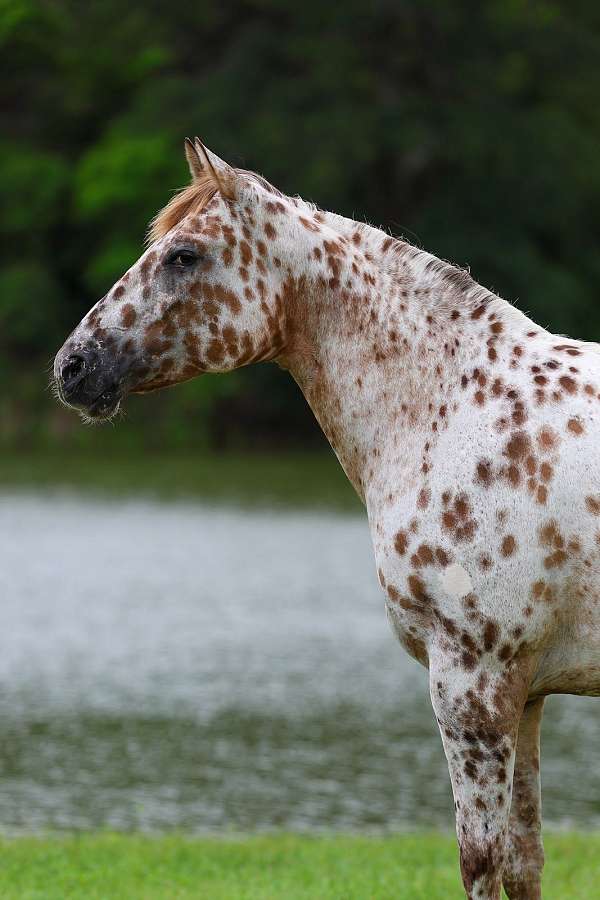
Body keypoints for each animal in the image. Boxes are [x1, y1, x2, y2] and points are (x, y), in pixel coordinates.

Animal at [53, 138, 600, 900]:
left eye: (183, 256)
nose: (72, 366)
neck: (454, 406)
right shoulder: (524, 693)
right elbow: (524, 861)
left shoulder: (474, 682)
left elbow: (480, 859)